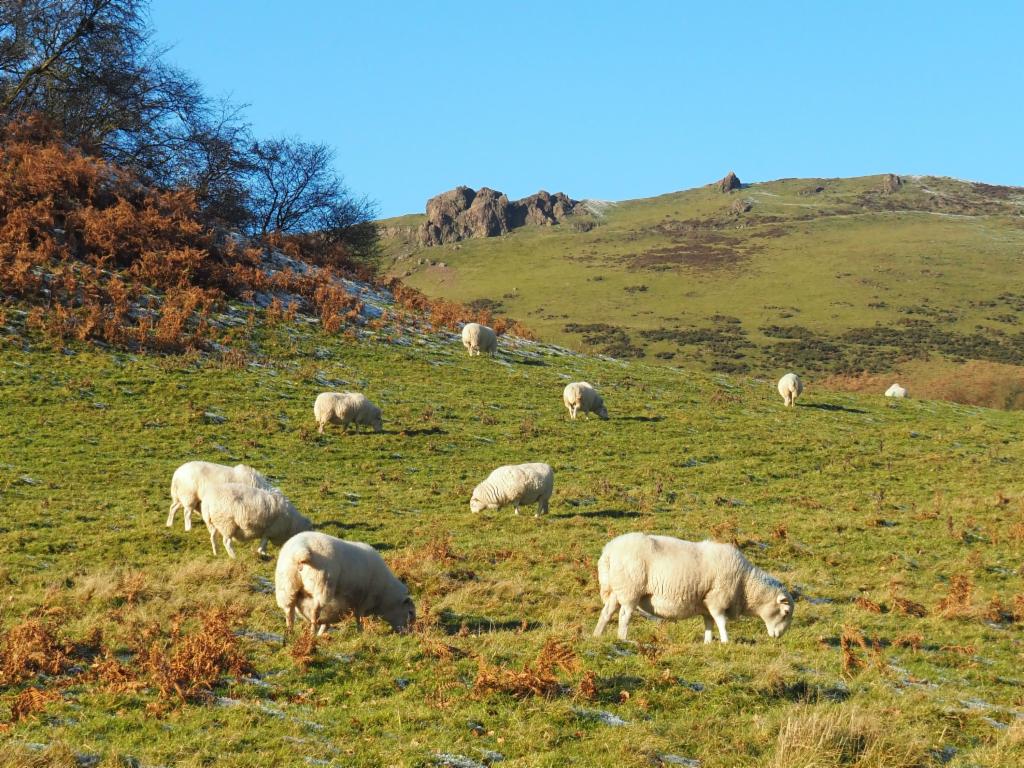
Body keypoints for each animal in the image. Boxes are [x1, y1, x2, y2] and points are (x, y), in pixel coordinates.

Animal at [276, 536, 415, 638]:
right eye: (410, 612)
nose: (409, 633)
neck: (384, 597)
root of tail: (301, 551)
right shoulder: (363, 601)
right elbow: (359, 617)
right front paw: (360, 632)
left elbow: (328, 620)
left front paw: (323, 633)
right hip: (321, 585)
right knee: (315, 611)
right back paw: (312, 633)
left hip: (287, 587)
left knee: (289, 611)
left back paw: (290, 632)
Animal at [589, 532, 794, 647]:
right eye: (786, 612)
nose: (778, 637)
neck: (745, 584)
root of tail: (608, 552)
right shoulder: (717, 599)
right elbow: (721, 622)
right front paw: (726, 641)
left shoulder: (706, 604)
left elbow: (709, 623)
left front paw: (708, 642)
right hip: (630, 589)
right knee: (624, 615)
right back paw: (623, 639)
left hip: (616, 590)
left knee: (606, 612)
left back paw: (597, 635)